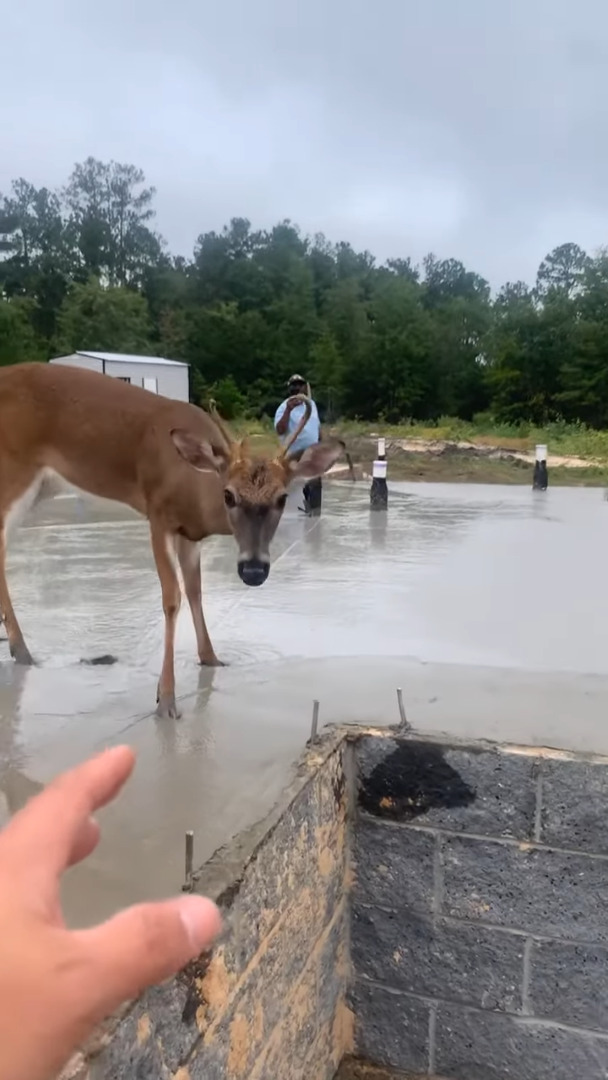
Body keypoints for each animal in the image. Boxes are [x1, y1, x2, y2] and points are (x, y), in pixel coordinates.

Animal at [0, 360, 345, 717]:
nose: (253, 570)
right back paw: (22, 650)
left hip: (43, 486)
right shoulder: (158, 514)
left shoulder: (189, 533)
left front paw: (211, 658)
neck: (192, 485)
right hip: (13, 469)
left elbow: (195, 590)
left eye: (281, 498)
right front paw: (166, 699)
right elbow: (171, 598)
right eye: (228, 495)